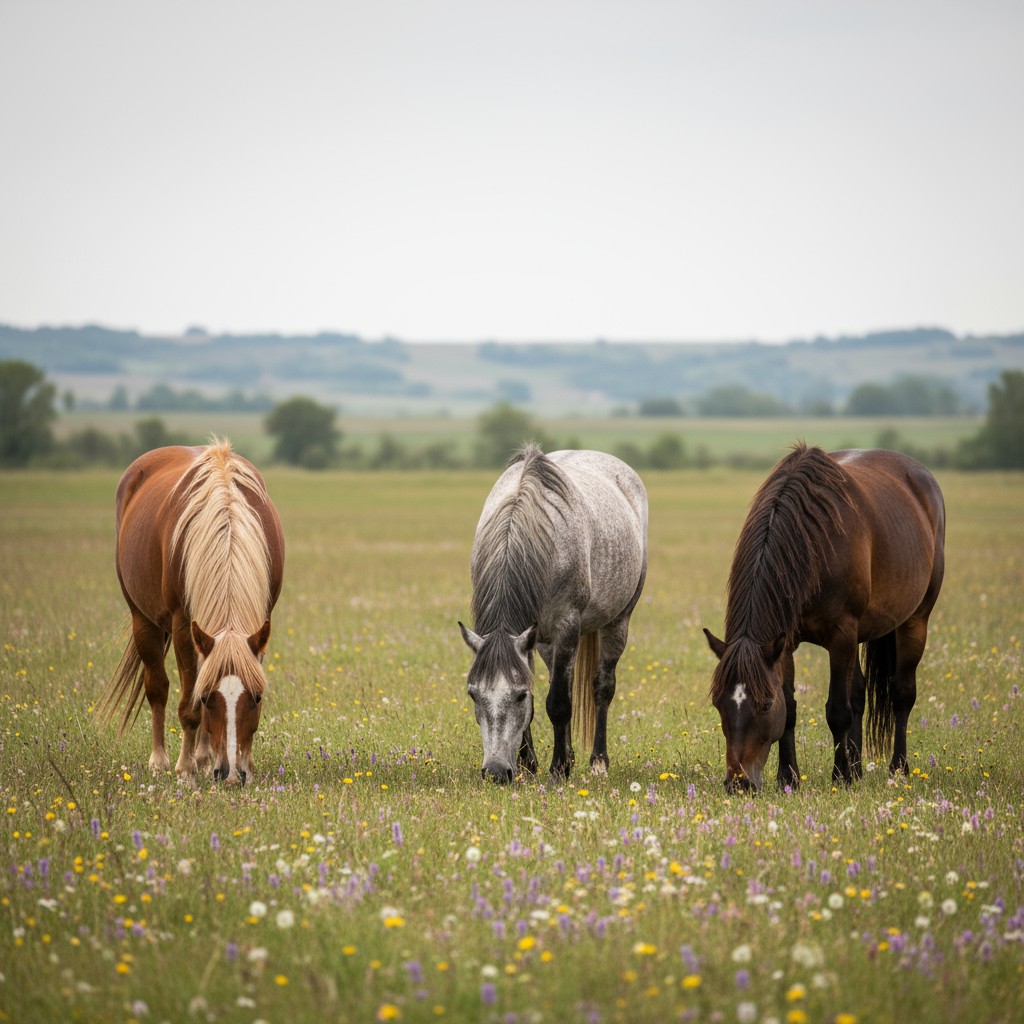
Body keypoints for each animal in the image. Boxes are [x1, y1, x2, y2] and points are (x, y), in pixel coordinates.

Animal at [99, 440, 285, 785]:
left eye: (257, 697)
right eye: (208, 698)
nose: (230, 774)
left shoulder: (259, 625)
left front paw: (243, 763)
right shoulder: (184, 626)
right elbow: (188, 702)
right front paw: (185, 769)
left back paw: (202, 757)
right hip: (143, 620)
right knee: (157, 688)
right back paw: (161, 760)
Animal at [459, 443, 648, 783]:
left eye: (519, 695)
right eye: (473, 694)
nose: (496, 772)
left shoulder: (566, 626)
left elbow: (558, 703)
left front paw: (558, 769)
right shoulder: (532, 636)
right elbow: (546, 699)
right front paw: (529, 763)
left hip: (617, 621)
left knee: (602, 687)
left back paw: (598, 762)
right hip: (547, 641)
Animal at [703, 443, 945, 793]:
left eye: (765, 704)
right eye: (718, 703)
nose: (739, 783)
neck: (814, 543)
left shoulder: (841, 635)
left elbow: (838, 711)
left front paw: (839, 776)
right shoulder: (784, 643)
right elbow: (792, 709)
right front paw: (788, 778)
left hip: (915, 620)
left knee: (902, 694)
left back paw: (896, 769)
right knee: (859, 693)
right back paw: (857, 769)